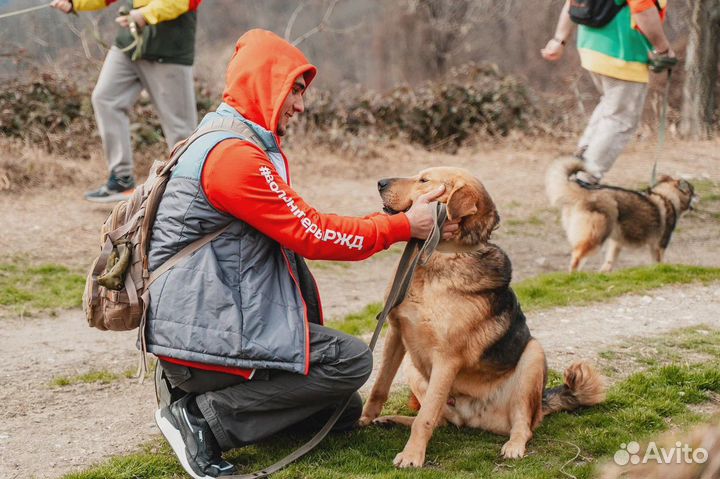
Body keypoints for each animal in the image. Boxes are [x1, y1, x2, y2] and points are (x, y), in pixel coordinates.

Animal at [362, 168, 604, 468]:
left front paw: (412, 455)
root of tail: (472, 417)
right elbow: (380, 387)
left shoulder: (446, 359)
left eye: (424, 181)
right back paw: (391, 420)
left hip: (533, 357)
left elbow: (425, 418)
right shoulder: (396, 331)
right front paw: (363, 419)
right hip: (412, 366)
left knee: (523, 425)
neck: (441, 255)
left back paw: (513, 446)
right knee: (440, 420)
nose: (380, 182)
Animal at [544, 159, 696, 272]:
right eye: (692, 191)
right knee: (577, 257)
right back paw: (575, 276)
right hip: (596, 237)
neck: (667, 196)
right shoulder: (660, 245)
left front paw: (604, 274)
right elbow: (659, 263)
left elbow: (609, 262)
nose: (697, 195)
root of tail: (586, 193)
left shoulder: (617, 242)